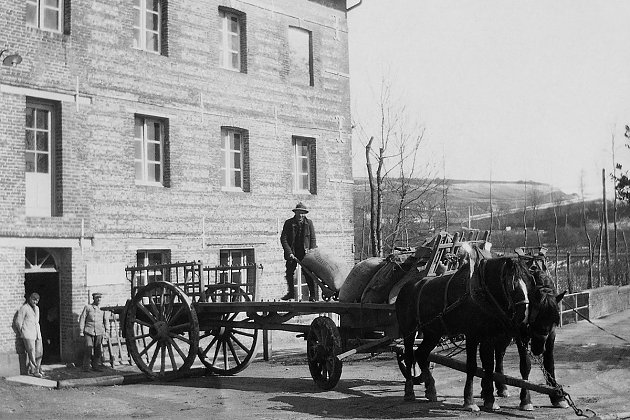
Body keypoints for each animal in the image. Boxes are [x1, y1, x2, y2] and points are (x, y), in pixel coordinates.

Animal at [398, 248, 564, 412]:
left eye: (528, 284)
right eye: (512, 285)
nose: (523, 317)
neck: (483, 293)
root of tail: (407, 286)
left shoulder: (491, 335)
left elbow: (491, 366)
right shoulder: (474, 334)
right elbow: (474, 366)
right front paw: (470, 401)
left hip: (433, 333)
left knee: (421, 354)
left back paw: (431, 389)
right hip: (409, 331)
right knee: (409, 356)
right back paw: (409, 391)